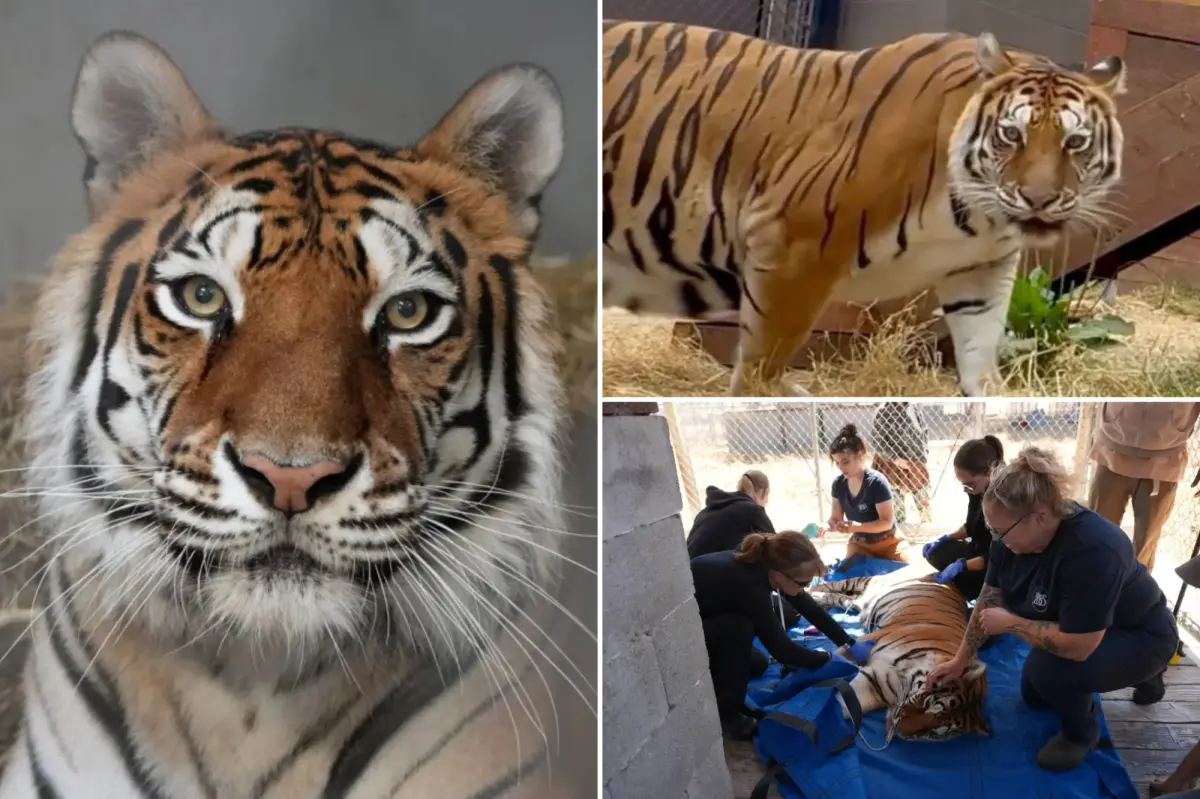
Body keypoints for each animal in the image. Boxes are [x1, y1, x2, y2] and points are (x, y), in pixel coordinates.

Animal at [601, 22, 1126, 397]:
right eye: (1011, 134)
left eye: (1075, 142)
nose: (1039, 199)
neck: (976, 217)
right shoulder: (792, 245)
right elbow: (761, 365)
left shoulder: (980, 270)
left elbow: (980, 349)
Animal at [807, 565, 990, 742]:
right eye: (928, 704)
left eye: (936, 731)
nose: (898, 730)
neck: (904, 678)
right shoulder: (867, 641)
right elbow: (834, 660)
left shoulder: (873, 684)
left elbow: (843, 706)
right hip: (869, 580)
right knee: (837, 585)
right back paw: (811, 591)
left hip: (860, 601)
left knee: (844, 599)